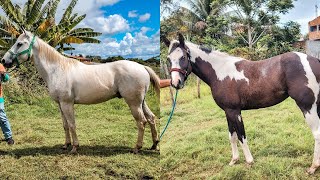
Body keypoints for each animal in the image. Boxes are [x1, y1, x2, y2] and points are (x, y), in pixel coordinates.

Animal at [0, 30, 159, 153]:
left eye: (19, 43)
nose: (4, 61)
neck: (56, 69)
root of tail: (142, 67)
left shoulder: (67, 103)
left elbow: (72, 124)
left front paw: (75, 147)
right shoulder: (60, 105)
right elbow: (65, 125)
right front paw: (66, 145)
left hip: (133, 103)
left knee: (141, 122)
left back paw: (137, 148)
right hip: (141, 102)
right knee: (151, 118)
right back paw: (154, 145)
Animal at [164, 33, 320, 174]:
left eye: (183, 57)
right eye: (168, 59)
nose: (176, 83)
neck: (219, 72)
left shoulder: (235, 111)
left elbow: (241, 136)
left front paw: (249, 162)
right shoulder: (228, 111)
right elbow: (231, 136)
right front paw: (234, 160)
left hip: (307, 106)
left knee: (317, 133)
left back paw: (313, 167)